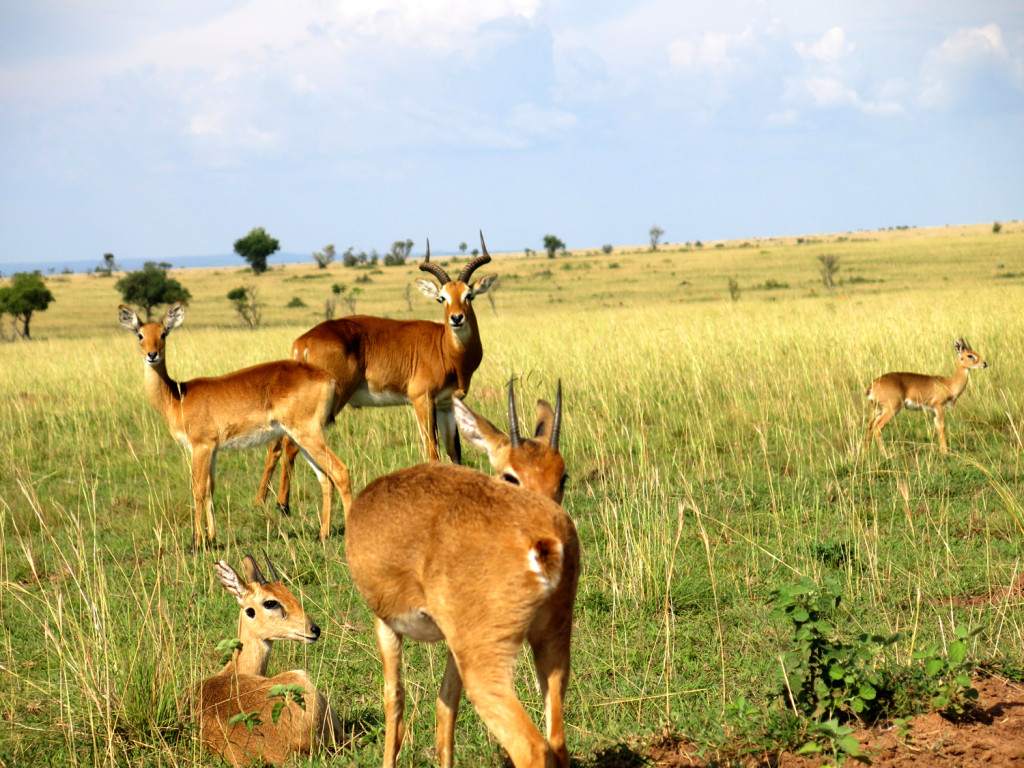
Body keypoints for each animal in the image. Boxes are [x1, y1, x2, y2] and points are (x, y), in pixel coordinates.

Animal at [117, 303, 352, 548]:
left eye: (163, 333)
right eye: (140, 334)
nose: (152, 355)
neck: (177, 397)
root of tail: (328, 378)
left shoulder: (200, 446)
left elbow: (197, 489)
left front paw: (196, 543)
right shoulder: (212, 450)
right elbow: (210, 488)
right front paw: (211, 538)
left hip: (307, 434)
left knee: (340, 472)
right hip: (301, 439)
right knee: (325, 478)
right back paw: (322, 534)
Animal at [256, 234, 495, 518]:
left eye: (469, 295)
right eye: (442, 297)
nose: (456, 318)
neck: (446, 349)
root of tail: (302, 342)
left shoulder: (448, 403)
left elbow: (454, 450)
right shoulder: (422, 399)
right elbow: (432, 448)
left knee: (277, 444)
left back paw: (262, 502)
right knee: (291, 445)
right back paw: (283, 506)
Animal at [346, 380, 577, 768]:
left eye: (563, 476)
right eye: (511, 475)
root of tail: (544, 539)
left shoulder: (385, 622)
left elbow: (394, 699)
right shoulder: (452, 639)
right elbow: (446, 706)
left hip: (488, 664)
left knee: (532, 747)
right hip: (552, 642)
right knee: (557, 740)